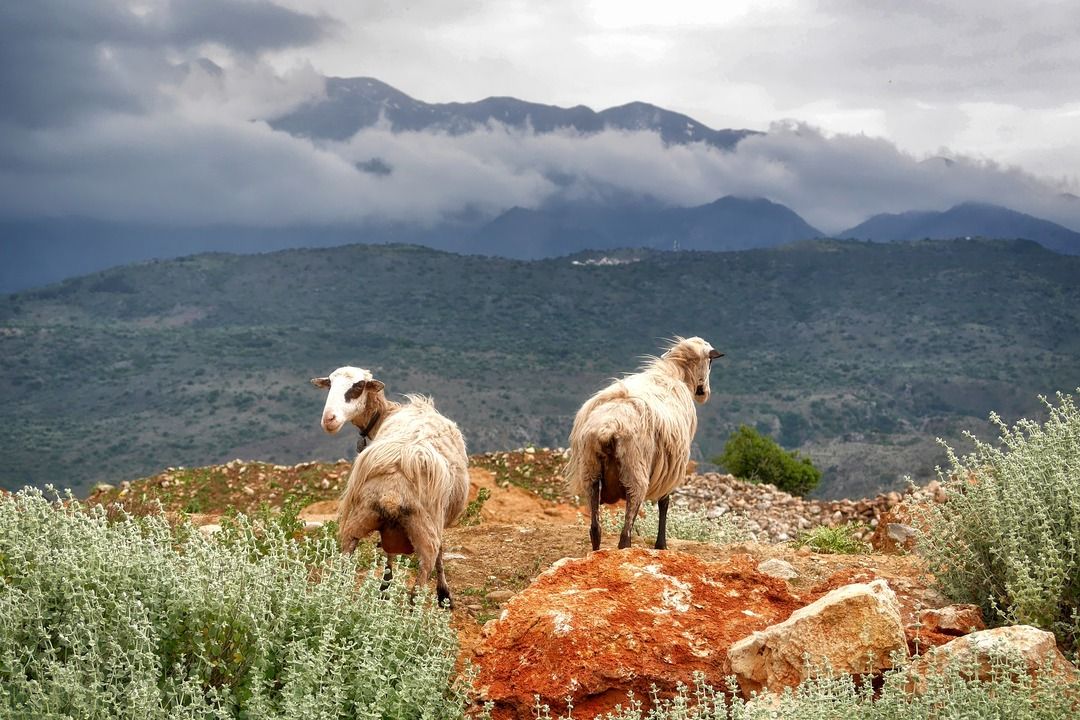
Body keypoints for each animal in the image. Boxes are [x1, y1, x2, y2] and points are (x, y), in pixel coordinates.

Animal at [308, 367, 468, 608]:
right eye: (330, 385)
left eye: (357, 387)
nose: (329, 420)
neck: (389, 412)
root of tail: (392, 492)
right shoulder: (441, 518)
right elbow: (441, 552)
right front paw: (444, 594)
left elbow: (389, 553)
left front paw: (385, 589)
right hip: (425, 531)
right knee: (418, 586)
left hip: (357, 521)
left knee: (345, 567)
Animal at [565, 338, 725, 552]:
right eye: (710, 362)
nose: (704, 393)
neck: (675, 373)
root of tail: (608, 427)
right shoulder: (671, 467)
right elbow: (664, 502)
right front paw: (661, 545)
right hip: (635, 473)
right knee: (625, 535)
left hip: (590, 472)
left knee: (595, 529)